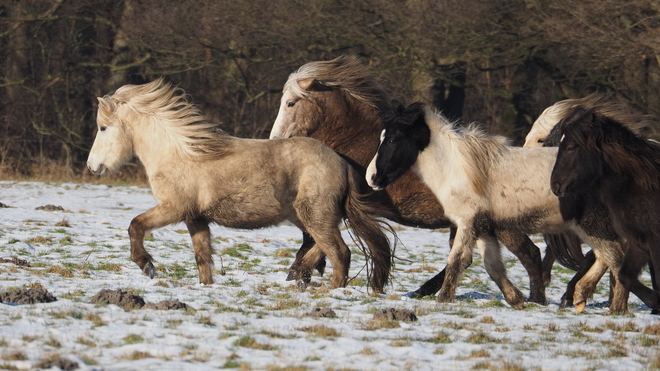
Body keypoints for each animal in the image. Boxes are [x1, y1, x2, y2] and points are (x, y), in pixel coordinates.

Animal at [85, 79, 394, 294]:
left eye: (103, 128)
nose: (92, 166)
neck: (180, 153)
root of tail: (341, 162)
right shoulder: (195, 218)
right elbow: (202, 258)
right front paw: (205, 287)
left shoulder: (174, 208)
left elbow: (135, 225)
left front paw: (146, 265)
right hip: (307, 216)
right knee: (321, 246)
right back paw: (298, 274)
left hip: (315, 215)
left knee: (339, 252)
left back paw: (331, 291)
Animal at [268, 55, 548, 308]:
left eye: (291, 103)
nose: (274, 140)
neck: (357, 140)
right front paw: (302, 272)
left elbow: (327, 240)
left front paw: (302, 272)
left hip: (502, 224)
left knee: (529, 254)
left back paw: (536, 300)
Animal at [366, 101, 628, 314]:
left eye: (392, 139)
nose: (372, 178)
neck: (460, 171)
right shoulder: (483, 227)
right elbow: (493, 266)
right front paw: (516, 300)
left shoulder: (466, 223)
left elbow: (456, 260)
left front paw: (443, 299)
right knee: (607, 256)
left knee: (612, 256)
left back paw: (602, 302)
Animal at [552, 107, 660, 314]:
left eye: (570, 147)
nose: (555, 186)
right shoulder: (638, 242)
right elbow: (626, 276)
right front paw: (655, 303)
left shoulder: (654, 241)